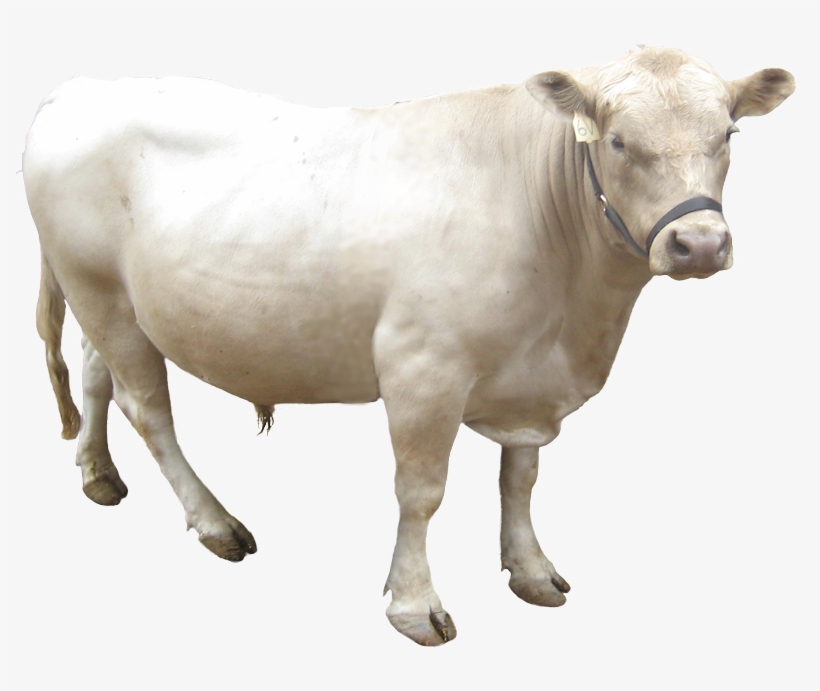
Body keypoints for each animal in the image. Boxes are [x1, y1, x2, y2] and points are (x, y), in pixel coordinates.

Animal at [24, 46, 793, 646]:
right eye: (618, 141)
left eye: (729, 133)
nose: (700, 243)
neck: (573, 319)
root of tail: (79, 87)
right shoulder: (423, 368)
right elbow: (422, 492)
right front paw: (415, 603)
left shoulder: (529, 375)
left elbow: (519, 480)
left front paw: (531, 568)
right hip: (99, 289)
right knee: (148, 407)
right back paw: (216, 522)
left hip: (112, 299)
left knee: (95, 375)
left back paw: (97, 473)